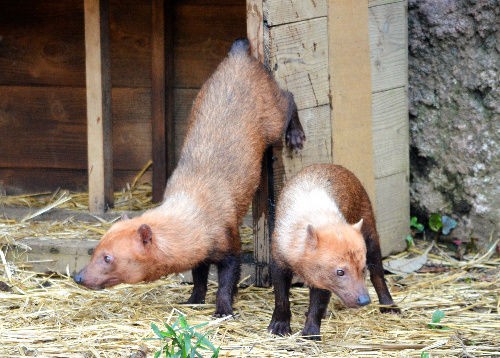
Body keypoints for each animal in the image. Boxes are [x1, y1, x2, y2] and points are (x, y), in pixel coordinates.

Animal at [73, 38, 304, 316]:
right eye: (95, 248)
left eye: (108, 257)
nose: (78, 276)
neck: (195, 209)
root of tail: (238, 55)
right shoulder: (200, 255)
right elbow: (199, 277)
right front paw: (193, 299)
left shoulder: (230, 243)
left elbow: (227, 281)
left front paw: (223, 310)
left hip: (273, 119)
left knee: (289, 98)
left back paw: (296, 136)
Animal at [270, 164, 398, 338]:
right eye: (340, 272)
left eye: (362, 269)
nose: (364, 300)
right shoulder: (279, 260)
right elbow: (281, 297)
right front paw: (279, 327)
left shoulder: (323, 279)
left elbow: (317, 305)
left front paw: (310, 334)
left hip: (370, 232)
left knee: (378, 274)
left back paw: (390, 307)